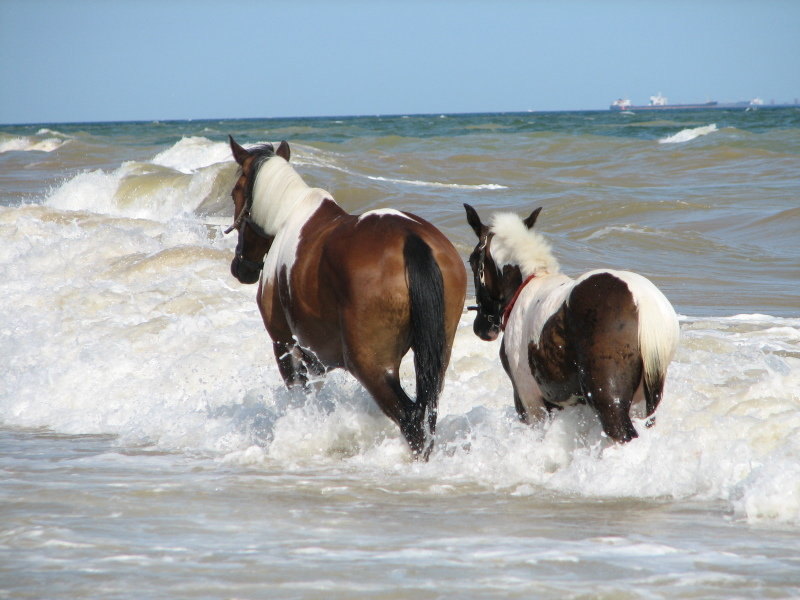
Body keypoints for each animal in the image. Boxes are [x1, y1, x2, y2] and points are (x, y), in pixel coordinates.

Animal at [225, 138, 466, 460]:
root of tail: (410, 239)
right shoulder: (315, 356)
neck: (287, 217)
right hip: (436, 360)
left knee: (411, 421)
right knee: (427, 416)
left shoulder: (285, 345)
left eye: (234, 193)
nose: (241, 268)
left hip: (371, 366)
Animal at [462, 204, 680, 442]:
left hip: (609, 402)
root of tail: (644, 302)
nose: (482, 328)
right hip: (644, 405)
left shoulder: (529, 402)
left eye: (473, 260)